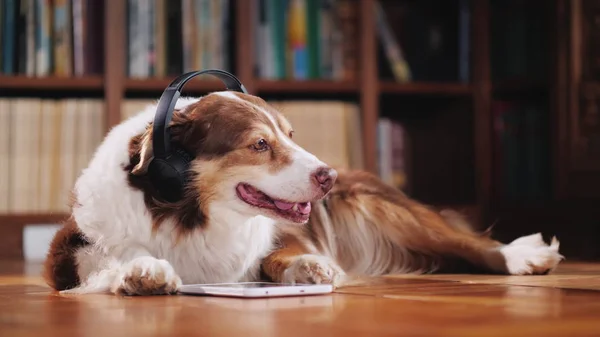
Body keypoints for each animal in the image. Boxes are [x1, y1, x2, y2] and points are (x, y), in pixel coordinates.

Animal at [43, 91, 564, 294]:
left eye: (291, 134)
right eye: (260, 144)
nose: (327, 175)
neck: (192, 215)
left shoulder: (280, 234)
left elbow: (285, 254)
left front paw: (311, 267)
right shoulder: (72, 249)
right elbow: (111, 260)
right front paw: (142, 269)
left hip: (382, 206)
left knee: (465, 240)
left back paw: (523, 256)